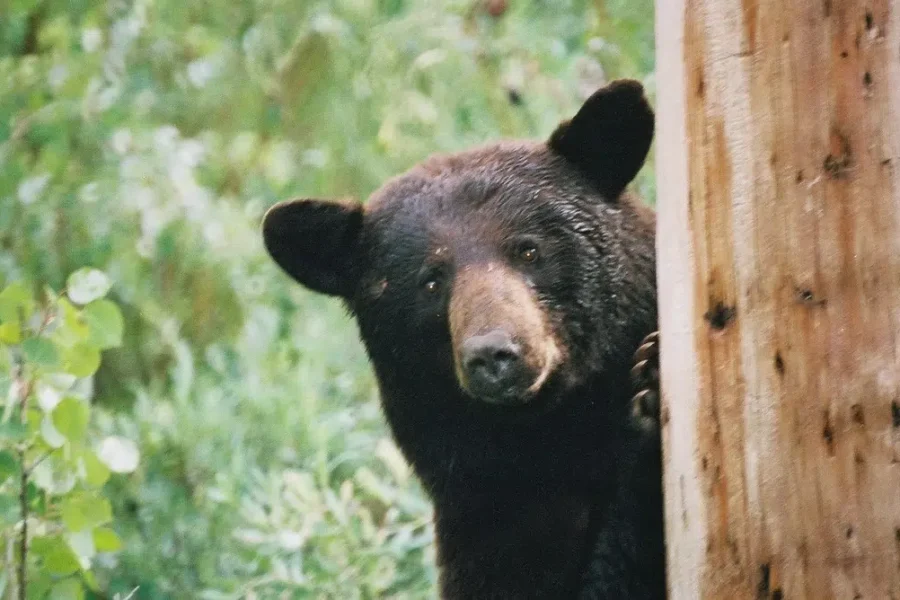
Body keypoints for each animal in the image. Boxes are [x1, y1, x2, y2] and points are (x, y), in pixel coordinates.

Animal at [262, 79, 665, 599]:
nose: (493, 354)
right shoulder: (486, 518)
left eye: (528, 249)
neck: (553, 439)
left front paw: (652, 378)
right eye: (431, 280)